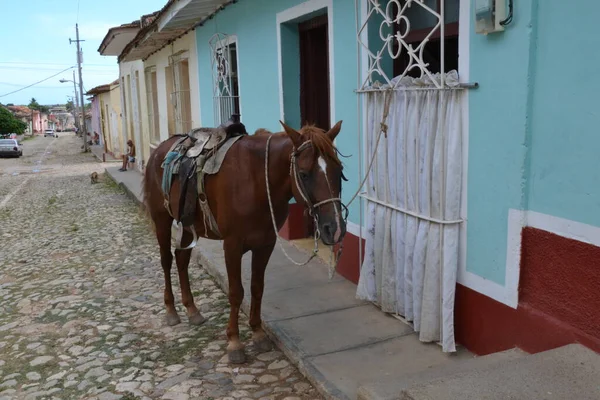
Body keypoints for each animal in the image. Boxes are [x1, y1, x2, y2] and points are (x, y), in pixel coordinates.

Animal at [144, 120, 346, 364]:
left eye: (339, 171)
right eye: (304, 174)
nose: (335, 228)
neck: (256, 180)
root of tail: (159, 150)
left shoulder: (266, 244)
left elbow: (257, 288)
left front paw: (257, 333)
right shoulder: (232, 245)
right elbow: (236, 292)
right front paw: (234, 343)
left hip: (188, 224)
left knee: (181, 259)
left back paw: (192, 310)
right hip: (162, 220)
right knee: (166, 260)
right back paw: (171, 311)